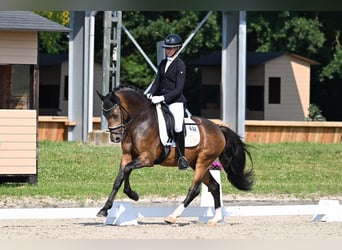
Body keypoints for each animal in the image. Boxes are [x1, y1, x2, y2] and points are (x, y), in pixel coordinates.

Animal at [96, 85, 254, 226]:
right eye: (105, 115)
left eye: (115, 115)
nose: (115, 138)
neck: (140, 121)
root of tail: (219, 129)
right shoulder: (127, 156)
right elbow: (120, 177)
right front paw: (104, 209)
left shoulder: (147, 159)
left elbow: (127, 169)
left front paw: (132, 194)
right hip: (196, 162)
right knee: (214, 186)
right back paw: (215, 219)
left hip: (203, 161)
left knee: (194, 189)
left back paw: (172, 217)